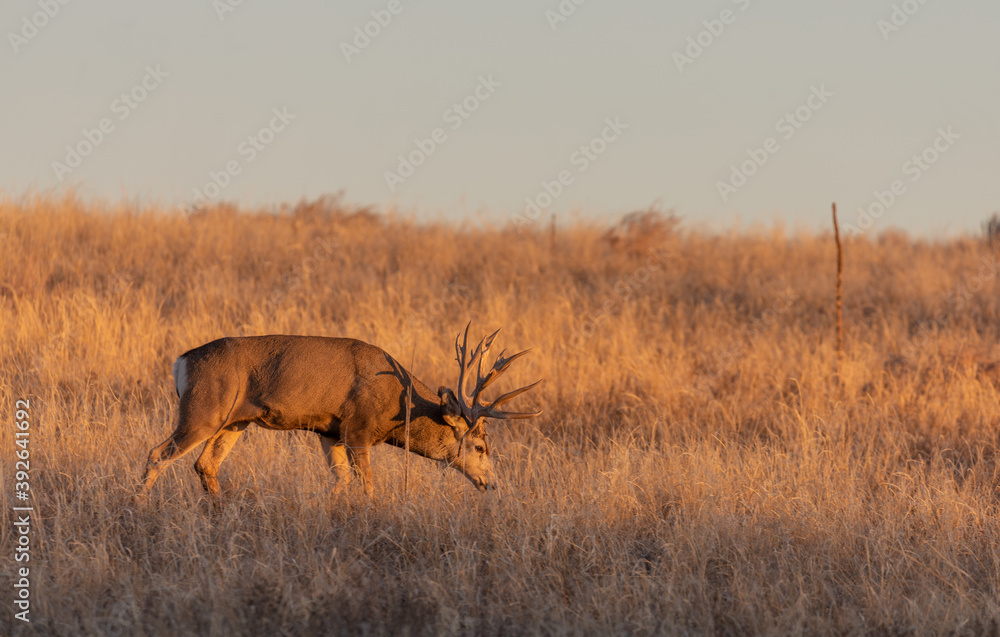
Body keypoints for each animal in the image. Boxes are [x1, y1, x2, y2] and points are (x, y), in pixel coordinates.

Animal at [139, 324, 541, 499]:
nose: (491, 483)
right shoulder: (358, 429)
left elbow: (341, 480)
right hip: (202, 410)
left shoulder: (329, 432)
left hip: (234, 421)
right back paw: (138, 509)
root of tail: (182, 360)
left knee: (205, 465)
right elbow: (368, 484)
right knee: (157, 453)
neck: (398, 403)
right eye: (480, 447)